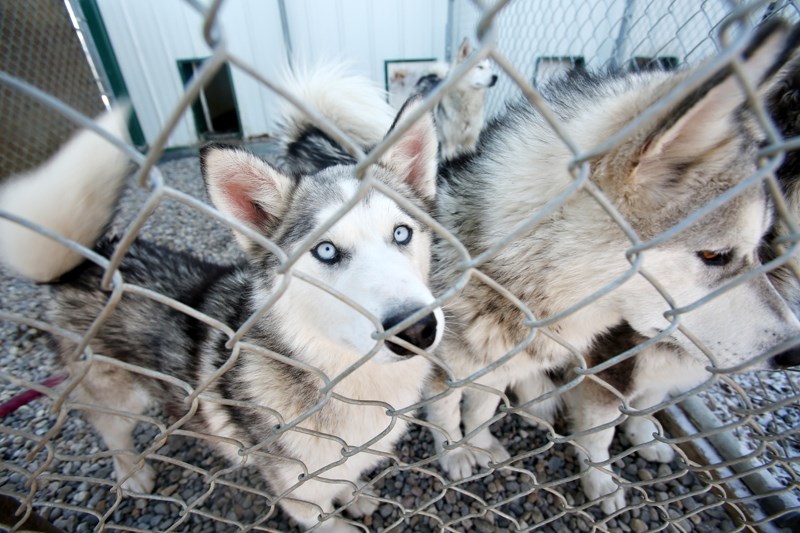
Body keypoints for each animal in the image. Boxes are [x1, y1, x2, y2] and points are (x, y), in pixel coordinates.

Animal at [0, 68, 444, 528]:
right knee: (111, 431)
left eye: (401, 233)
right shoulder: (299, 493)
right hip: (115, 397)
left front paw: (355, 494)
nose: (417, 329)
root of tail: (88, 259)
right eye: (325, 250)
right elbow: (325, 520)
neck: (343, 376)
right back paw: (132, 472)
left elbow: (347, 477)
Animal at [428, 20, 800, 500]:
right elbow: (448, 415)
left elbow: (479, 412)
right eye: (715, 256)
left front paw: (481, 442)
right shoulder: (446, 373)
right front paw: (456, 454)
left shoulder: (497, 369)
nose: (794, 352)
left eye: (763, 245)